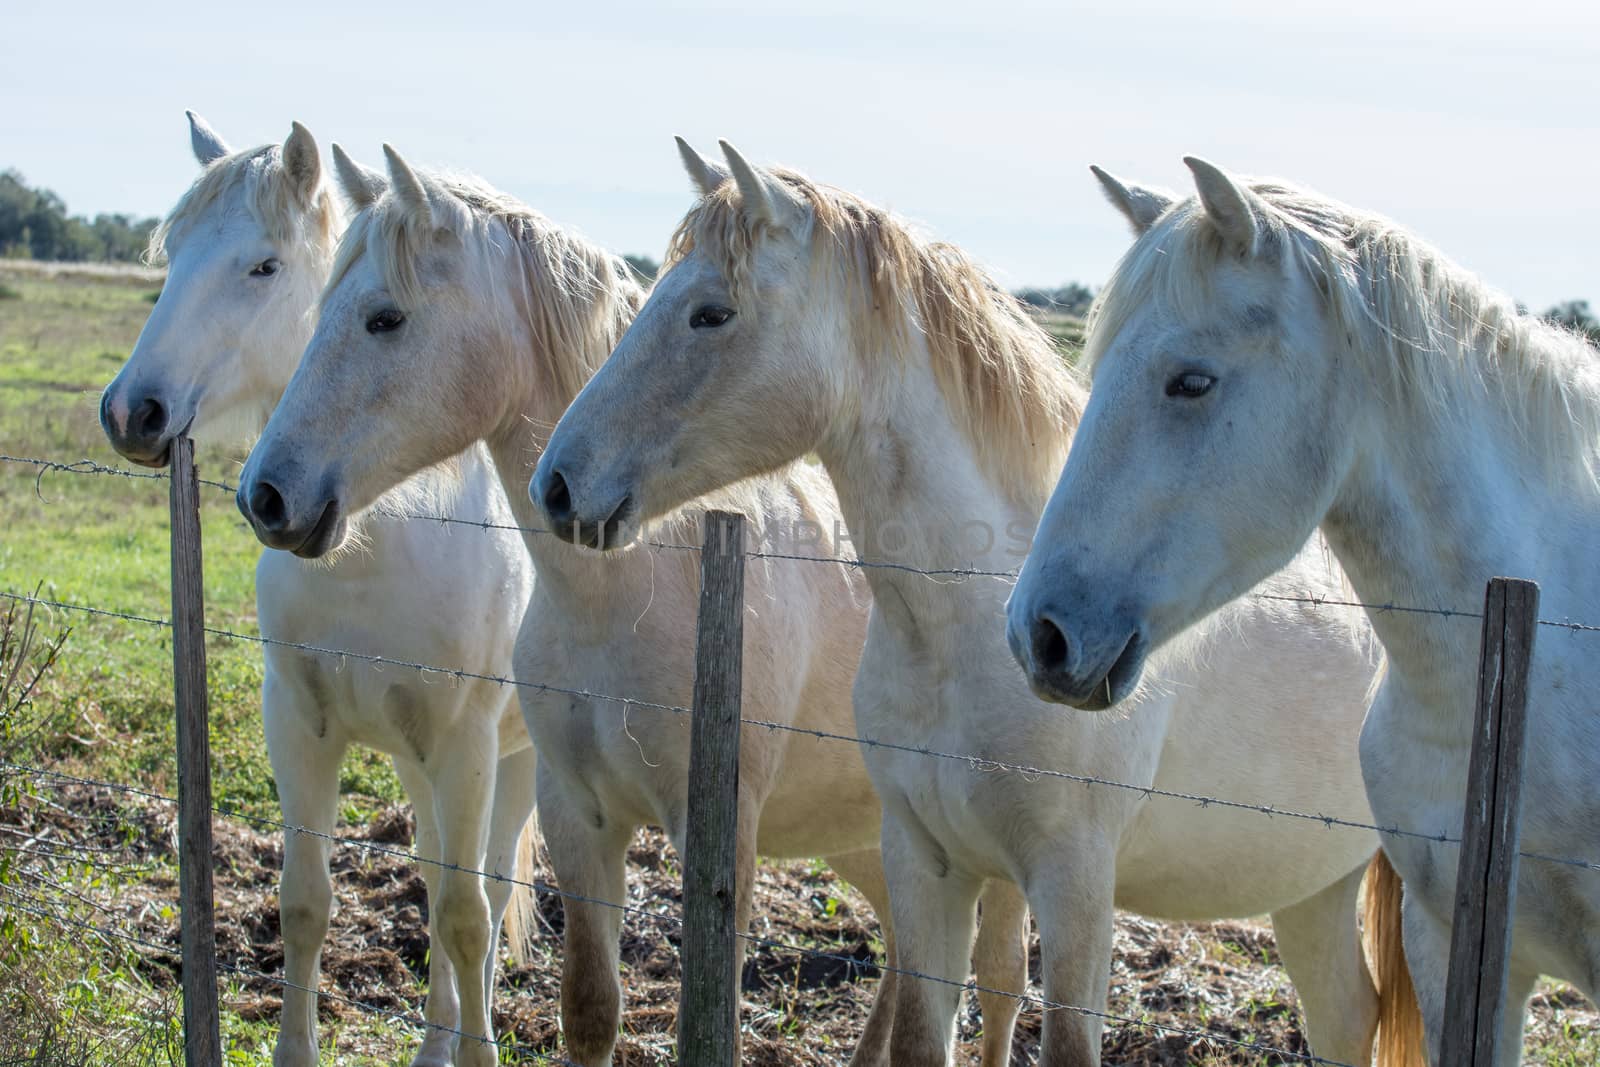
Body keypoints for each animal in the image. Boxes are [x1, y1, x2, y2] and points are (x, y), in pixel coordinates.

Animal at [100, 112, 537, 1062]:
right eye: (171, 252)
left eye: (263, 266)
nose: (131, 412)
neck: (380, 538)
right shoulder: (298, 722)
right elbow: (307, 902)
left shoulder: (466, 742)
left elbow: (467, 915)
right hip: (417, 761)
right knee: (435, 874)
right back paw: (433, 1044)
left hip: (512, 760)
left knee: (480, 891)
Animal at [225, 147, 1024, 1067]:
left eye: (385, 318)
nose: (266, 495)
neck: (638, 589)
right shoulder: (579, 817)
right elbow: (587, 1006)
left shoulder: (718, 842)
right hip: (875, 838)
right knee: (902, 951)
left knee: (997, 981)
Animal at [531, 143, 1408, 1067]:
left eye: (711, 313)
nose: (558, 484)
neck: (965, 632)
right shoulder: (928, 863)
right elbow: (925, 1033)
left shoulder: (1074, 888)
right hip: (1314, 889)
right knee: (1349, 1018)